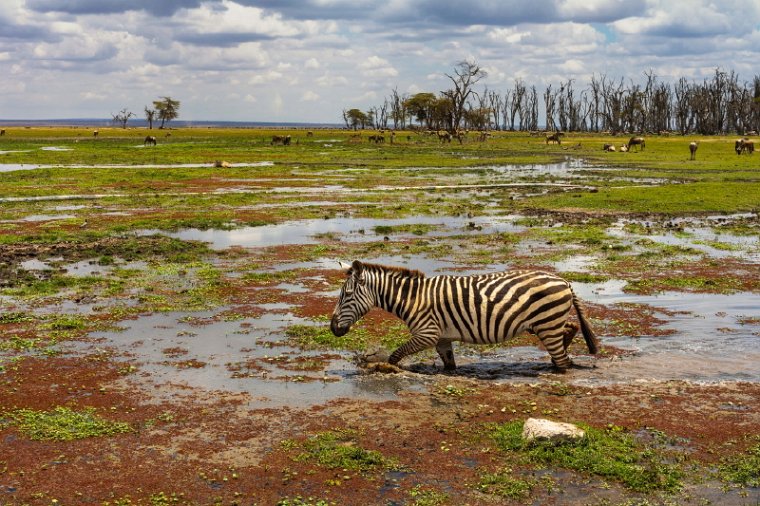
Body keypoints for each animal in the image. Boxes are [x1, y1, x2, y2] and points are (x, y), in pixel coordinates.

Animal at [332, 262, 600, 370]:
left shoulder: (428, 333)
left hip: (546, 323)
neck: (413, 298)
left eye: (346, 295)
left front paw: (388, 368)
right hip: (544, 323)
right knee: (570, 329)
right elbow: (450, 365)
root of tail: (564, 281)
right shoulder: (442, 339)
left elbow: (395, 355)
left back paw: (559, 364)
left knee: (563, 359)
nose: (333, 329)